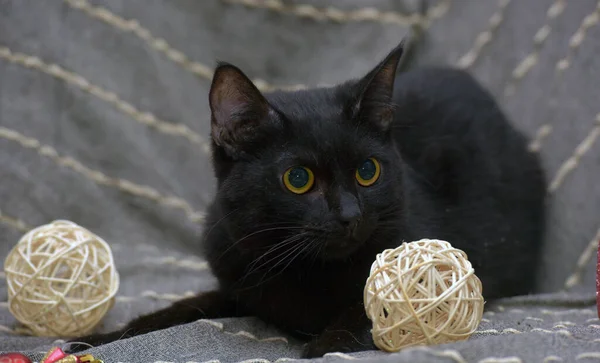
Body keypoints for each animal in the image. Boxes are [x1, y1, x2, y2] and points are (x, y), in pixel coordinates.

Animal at [68, 39, 548, 356]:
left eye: (368, 171)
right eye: (298, 179)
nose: (350, 215)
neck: (302, 270)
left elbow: (356, 323)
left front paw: (317, 347)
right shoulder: (236, 278)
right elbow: (177, 309)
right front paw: (94, 339)